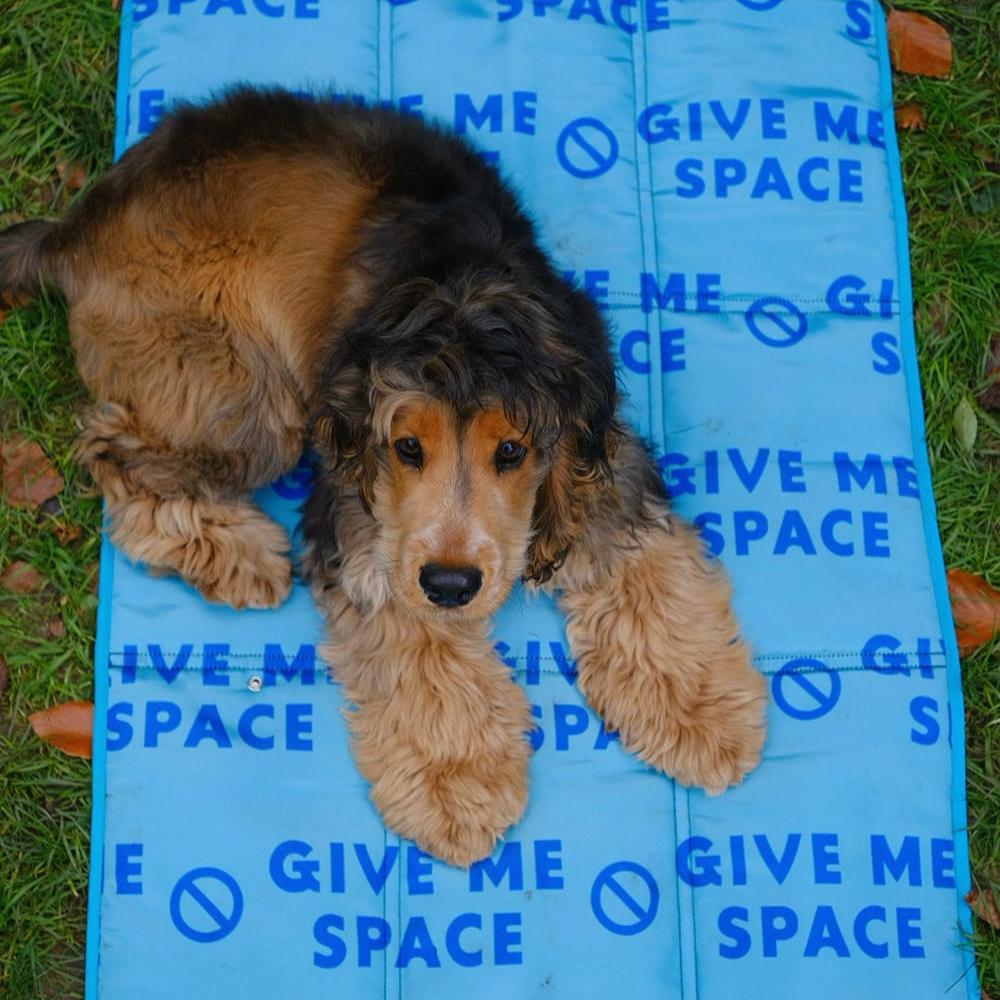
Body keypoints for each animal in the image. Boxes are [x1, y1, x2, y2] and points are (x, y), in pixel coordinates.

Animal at [1, 86, 764, 868]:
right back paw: (238, 553)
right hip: (242, 388)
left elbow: (647, 576)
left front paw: (700, 714)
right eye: (406, 447)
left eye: (512, 450)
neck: (464, 292)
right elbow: (421, 653)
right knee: (118, 453)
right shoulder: (367, 521)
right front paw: (456, 786)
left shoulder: (603, 468)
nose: (452, 586)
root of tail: (73, 229)